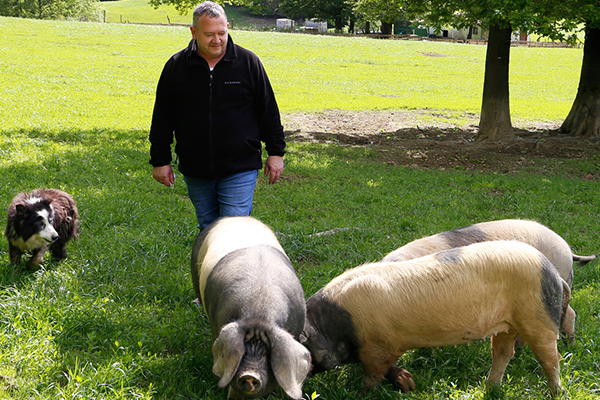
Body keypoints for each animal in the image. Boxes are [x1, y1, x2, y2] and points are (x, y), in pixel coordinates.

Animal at [302, 241, 568, 396]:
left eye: (305, 350)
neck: (334, 326)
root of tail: (554, 273)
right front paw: (409, 385)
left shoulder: (378, 348)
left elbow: (373, 376)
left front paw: (365, 394)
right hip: (508, 323)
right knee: (503, 353)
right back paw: (490, 388)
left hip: (537, 316)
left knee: (550, 357)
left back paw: (556, 393)